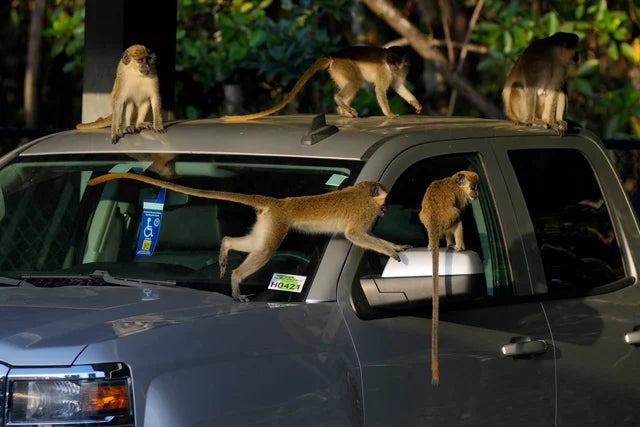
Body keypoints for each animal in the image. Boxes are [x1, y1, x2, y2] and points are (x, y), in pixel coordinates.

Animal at [87, 172, 412, 302]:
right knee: (265, 251)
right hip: (278, 224)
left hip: (267, 223)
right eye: (385, 201)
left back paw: (226, 247)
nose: (385, 210)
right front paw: (390, 250)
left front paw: (396, 245)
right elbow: (356, 235)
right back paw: (236, 281)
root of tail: (280, 204)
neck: (364, 194)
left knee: (250, 243)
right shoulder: (363, 216)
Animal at [224, 46, 423, 121]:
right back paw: (341, 103)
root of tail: (334, 56)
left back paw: (344, 110)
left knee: (352, 83)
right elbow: (381, 89)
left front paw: (415, 103)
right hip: (344, 65)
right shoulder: (384, 71)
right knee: (355, 81)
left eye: (395, 61)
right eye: (388, 60)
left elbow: (398, 86)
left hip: (337, 71)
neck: (392, 69)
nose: (391, 65)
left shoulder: (402, 69)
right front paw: (389, 114)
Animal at [418, 170, 479, 384]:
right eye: (473, 187)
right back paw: (459, 246)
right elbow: (460, 211)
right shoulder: (461, 197)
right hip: (449, 219)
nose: (476, 194)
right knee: (458, 218)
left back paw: (435, 245)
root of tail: (434, 224)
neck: (454, 181)